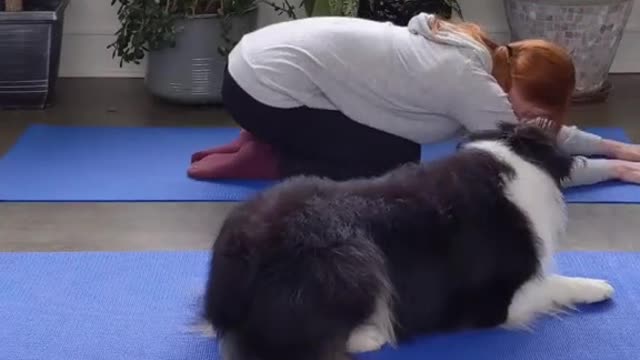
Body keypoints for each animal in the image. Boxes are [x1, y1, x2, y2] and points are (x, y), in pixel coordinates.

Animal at [205, 122, 616, 358]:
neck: (511, 158)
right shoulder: (493, 302)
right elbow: (552, 283)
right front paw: (598, 286)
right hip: (351, 254)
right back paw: (370, 335)